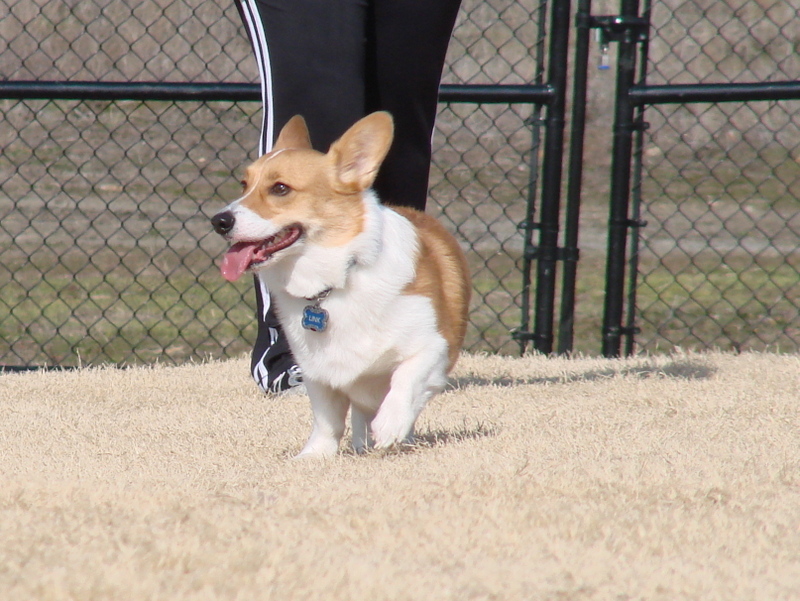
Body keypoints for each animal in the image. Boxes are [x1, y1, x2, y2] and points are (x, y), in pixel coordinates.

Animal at [212, 112, 472, 458]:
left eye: (280, 188)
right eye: (244, 185)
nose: (219, 221)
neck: (338, 278)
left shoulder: (433, 345)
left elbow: (406, 379)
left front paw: (390, 424)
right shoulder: (316, 372)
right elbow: (327, 418)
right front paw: (314, 456)